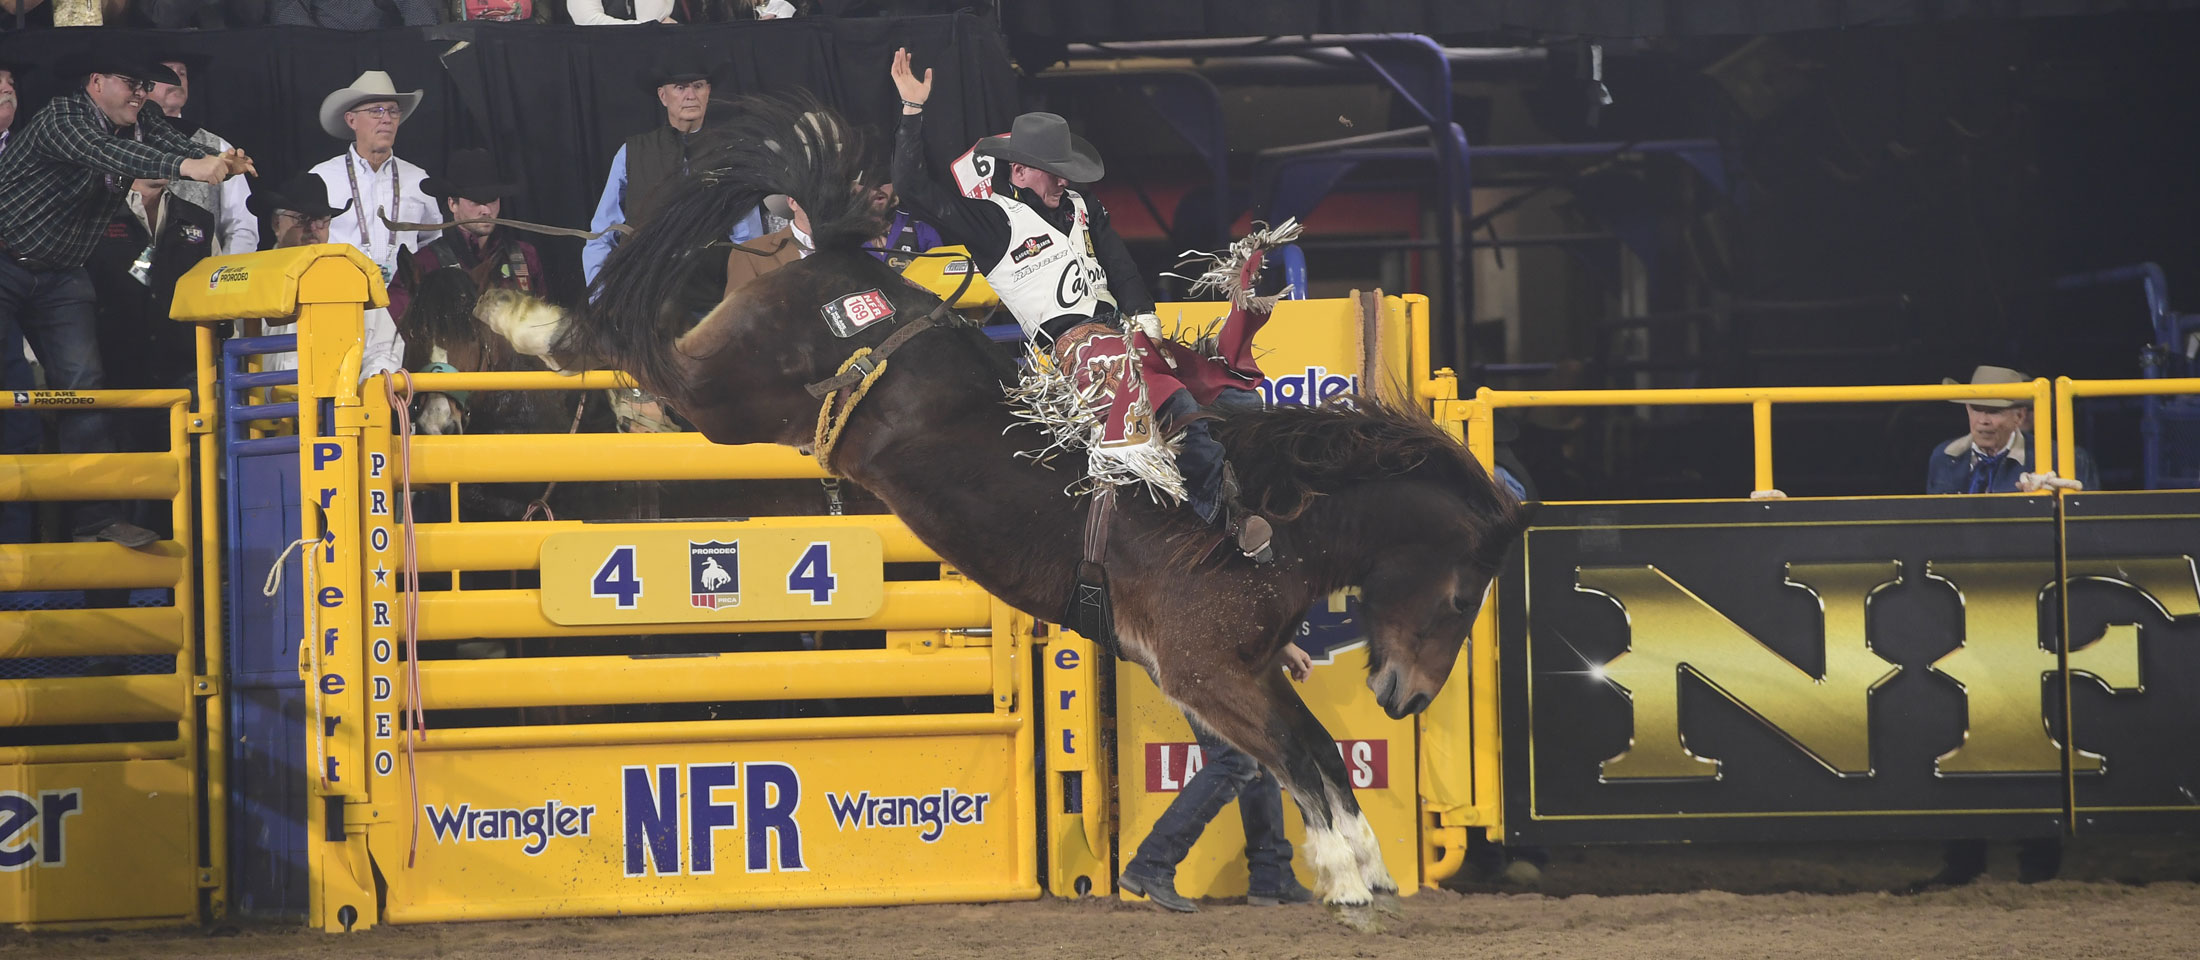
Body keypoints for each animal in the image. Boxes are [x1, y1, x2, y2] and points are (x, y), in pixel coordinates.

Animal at [479, 97, 1522, 929]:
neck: (1264, 522)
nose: (1406, 698)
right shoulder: (1204, 671)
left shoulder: (1241, 673)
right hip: (731, 394)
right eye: (1460, 594)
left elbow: (1318, 753)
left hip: (756, 409)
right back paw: (521, 320)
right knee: (640, 354)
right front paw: (1346, 874)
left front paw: (1366, 868)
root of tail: (839, 259)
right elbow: (1303, 754)